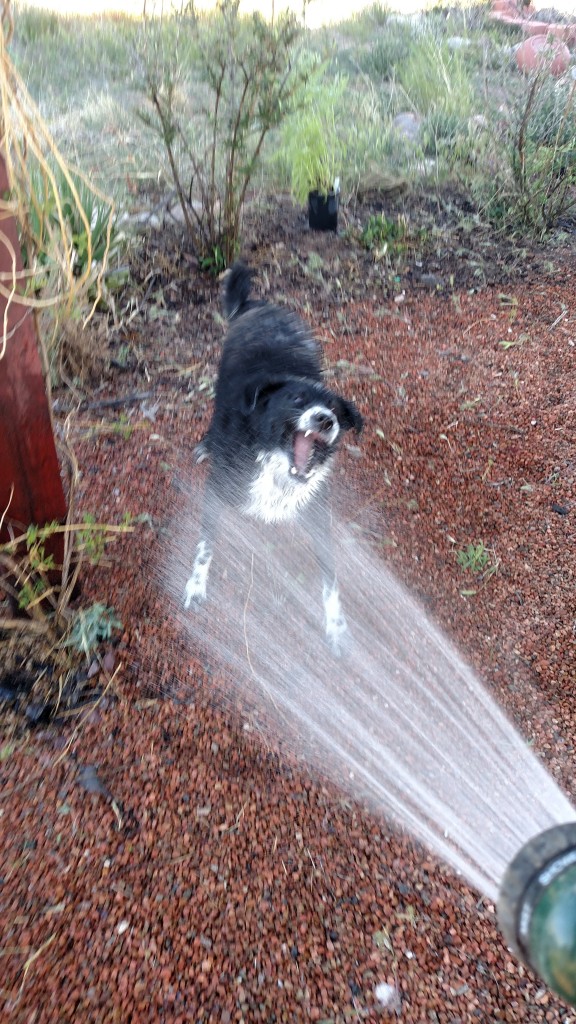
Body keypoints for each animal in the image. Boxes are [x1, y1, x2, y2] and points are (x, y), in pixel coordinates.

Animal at [183, 260, 360, 651]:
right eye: (296, 400)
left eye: (335, 410)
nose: (325, 420)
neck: (273, 464)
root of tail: (258, 304)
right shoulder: (218, 489)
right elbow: (204, 546)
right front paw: (196, 586)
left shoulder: (317, 511)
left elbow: (331, 577)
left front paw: (337, 626)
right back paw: (206, 444)